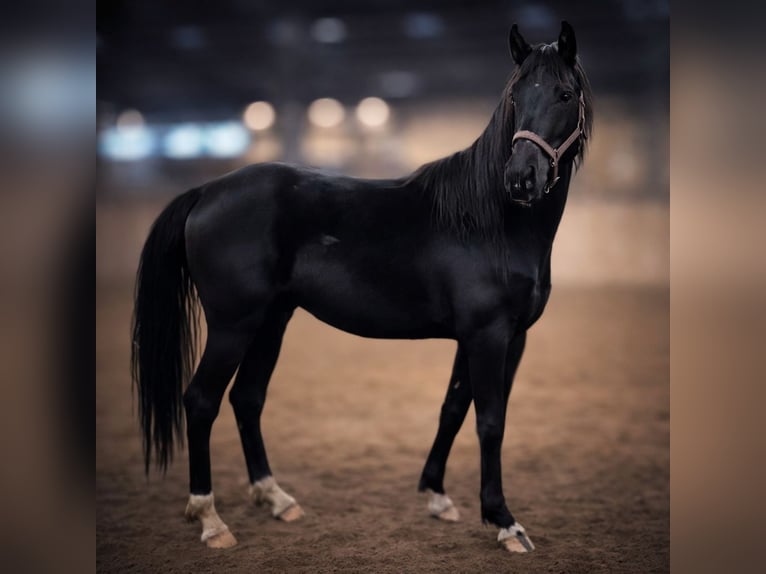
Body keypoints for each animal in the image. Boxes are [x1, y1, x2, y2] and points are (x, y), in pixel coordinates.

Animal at [131, 21, 593, 554]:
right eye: (517, 95)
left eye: (564, 94)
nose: (521, 178)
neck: (492, 222)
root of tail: (206, 192)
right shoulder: (488, 335)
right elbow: (490, 421)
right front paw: (503, 521)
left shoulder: (502, 338)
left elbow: (454, 407)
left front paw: (437, 496)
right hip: (233, 326)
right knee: (201, 401)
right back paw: (210, 519)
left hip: (271, 321)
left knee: (247, 398)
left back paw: (276, 499)